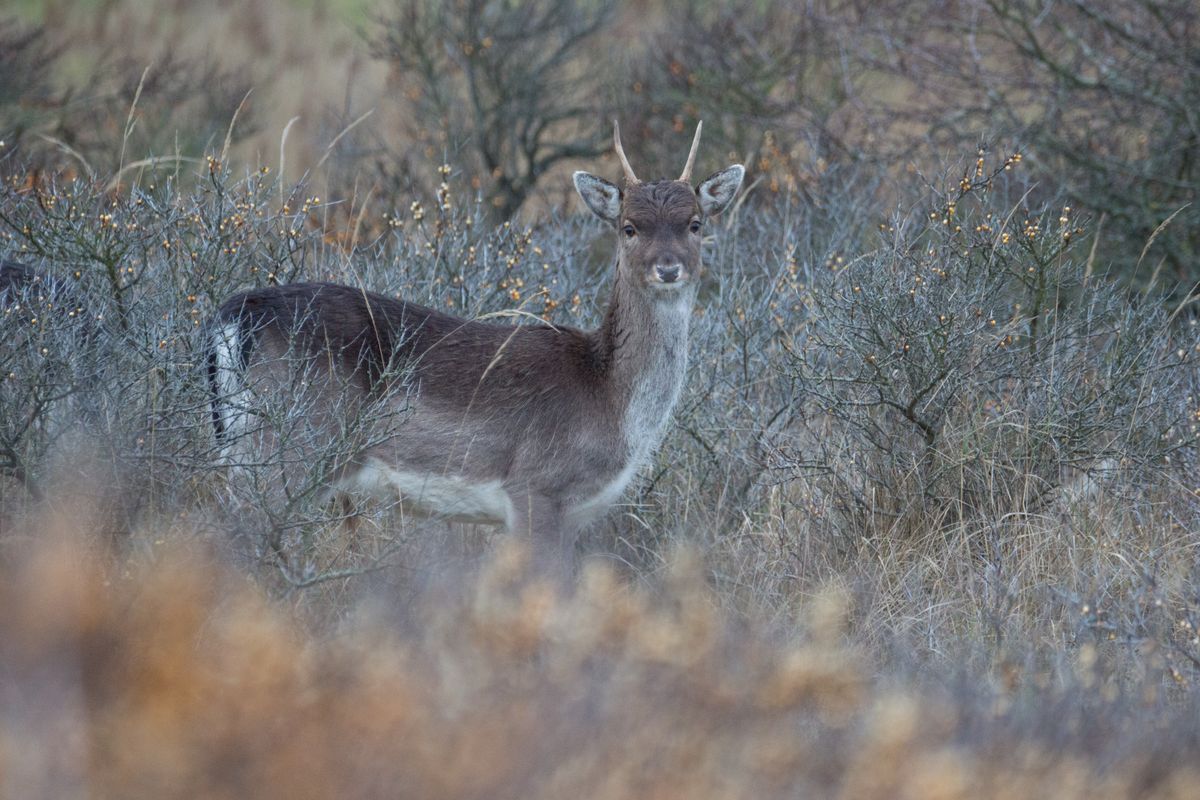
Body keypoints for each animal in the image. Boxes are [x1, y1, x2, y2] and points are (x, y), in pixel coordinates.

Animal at [208, 122, 739, 566]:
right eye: (629, 226)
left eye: (695, 223)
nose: (668, 267)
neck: (608, 396)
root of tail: (235, 315)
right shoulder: (536, 487)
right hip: (295, 445)